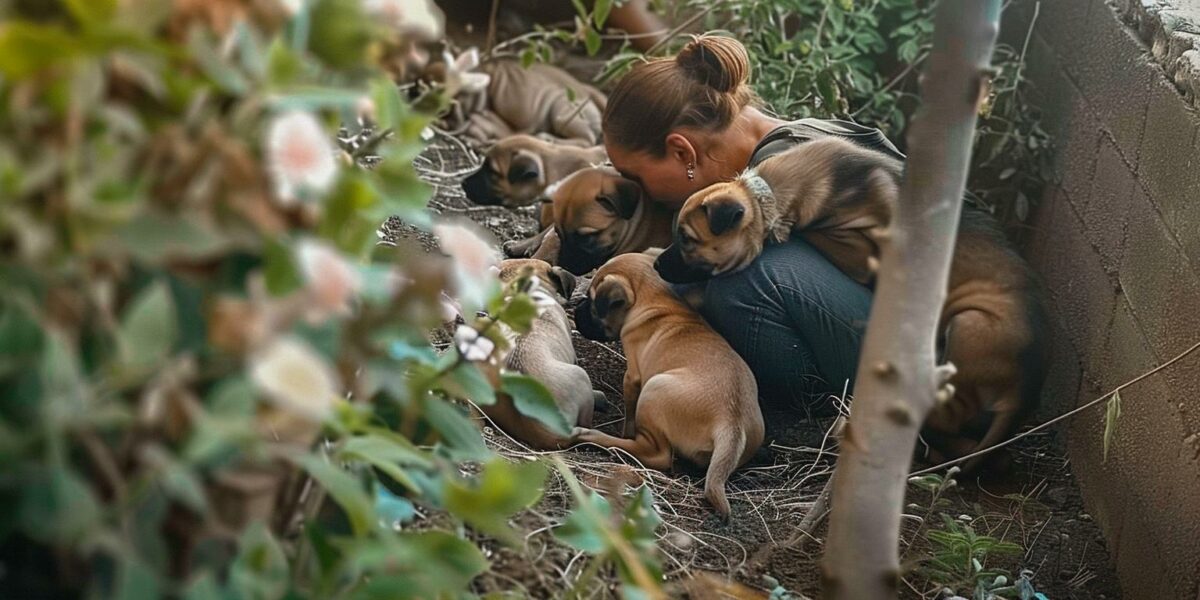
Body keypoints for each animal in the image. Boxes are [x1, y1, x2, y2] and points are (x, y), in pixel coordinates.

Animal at [568, 249, 758, 516]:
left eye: (593, 302)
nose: (577, 310)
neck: (656, 299)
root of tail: (730, 423)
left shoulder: (633, 377)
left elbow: (629, 416)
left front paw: (624, 431)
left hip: (653, 390)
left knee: (657, 454)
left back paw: (601, 439)